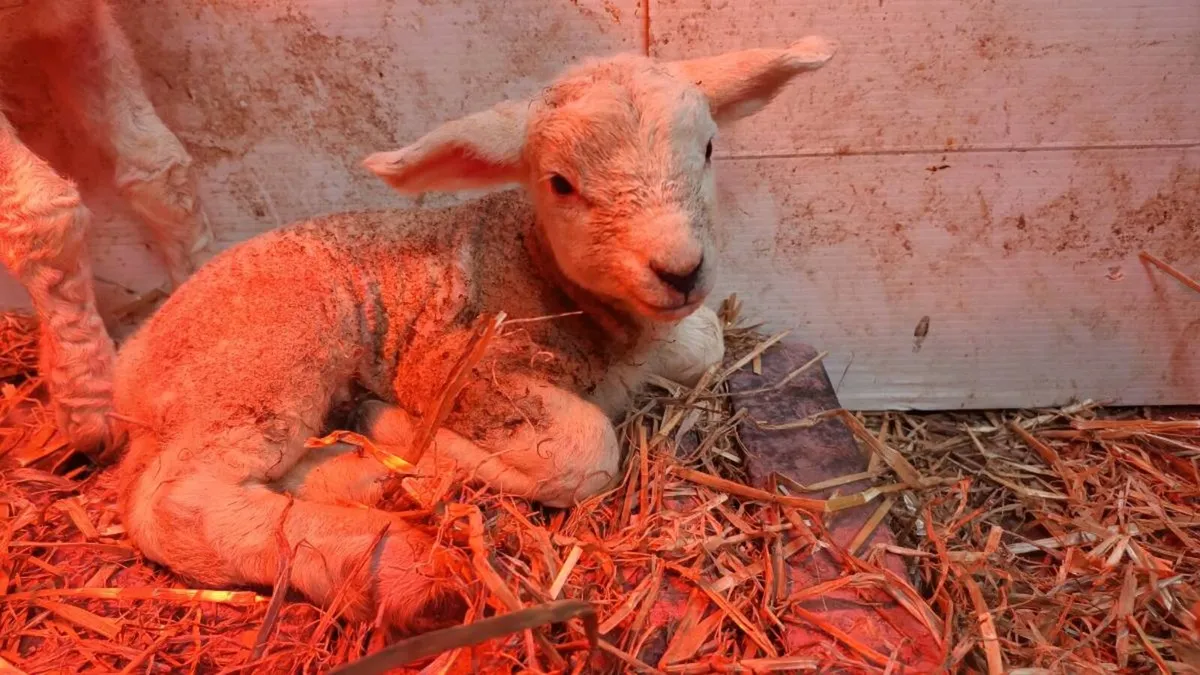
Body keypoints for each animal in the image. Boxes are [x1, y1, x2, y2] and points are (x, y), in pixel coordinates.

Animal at [115, 37, 836, 632]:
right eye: (561, 184)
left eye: (709, 149)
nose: (680, 269)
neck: (538, 269)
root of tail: (134, 364)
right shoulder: (454, 366)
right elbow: (586, 450)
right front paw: (402, 429)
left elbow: (707, 341)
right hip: (264, 361)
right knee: (175, 503)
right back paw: (393, 565)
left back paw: (359, 475)